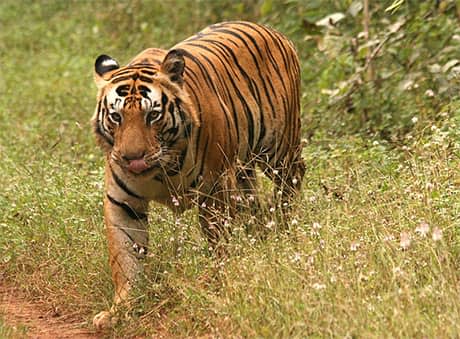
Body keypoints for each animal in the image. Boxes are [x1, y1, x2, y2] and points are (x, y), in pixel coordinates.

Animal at [90, 21, 306, 330]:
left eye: (152, 116)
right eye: (116, 117)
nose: (133, 159)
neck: (160, 170)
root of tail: (273, 31)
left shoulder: (214, 191)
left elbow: (218, 244)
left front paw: (217, 283)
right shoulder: (123, 202)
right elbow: (126, 256)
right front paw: (121, 309)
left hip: (279, 150)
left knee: (292, 180)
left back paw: (283, 226)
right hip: (243, 169)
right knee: (254, 205)